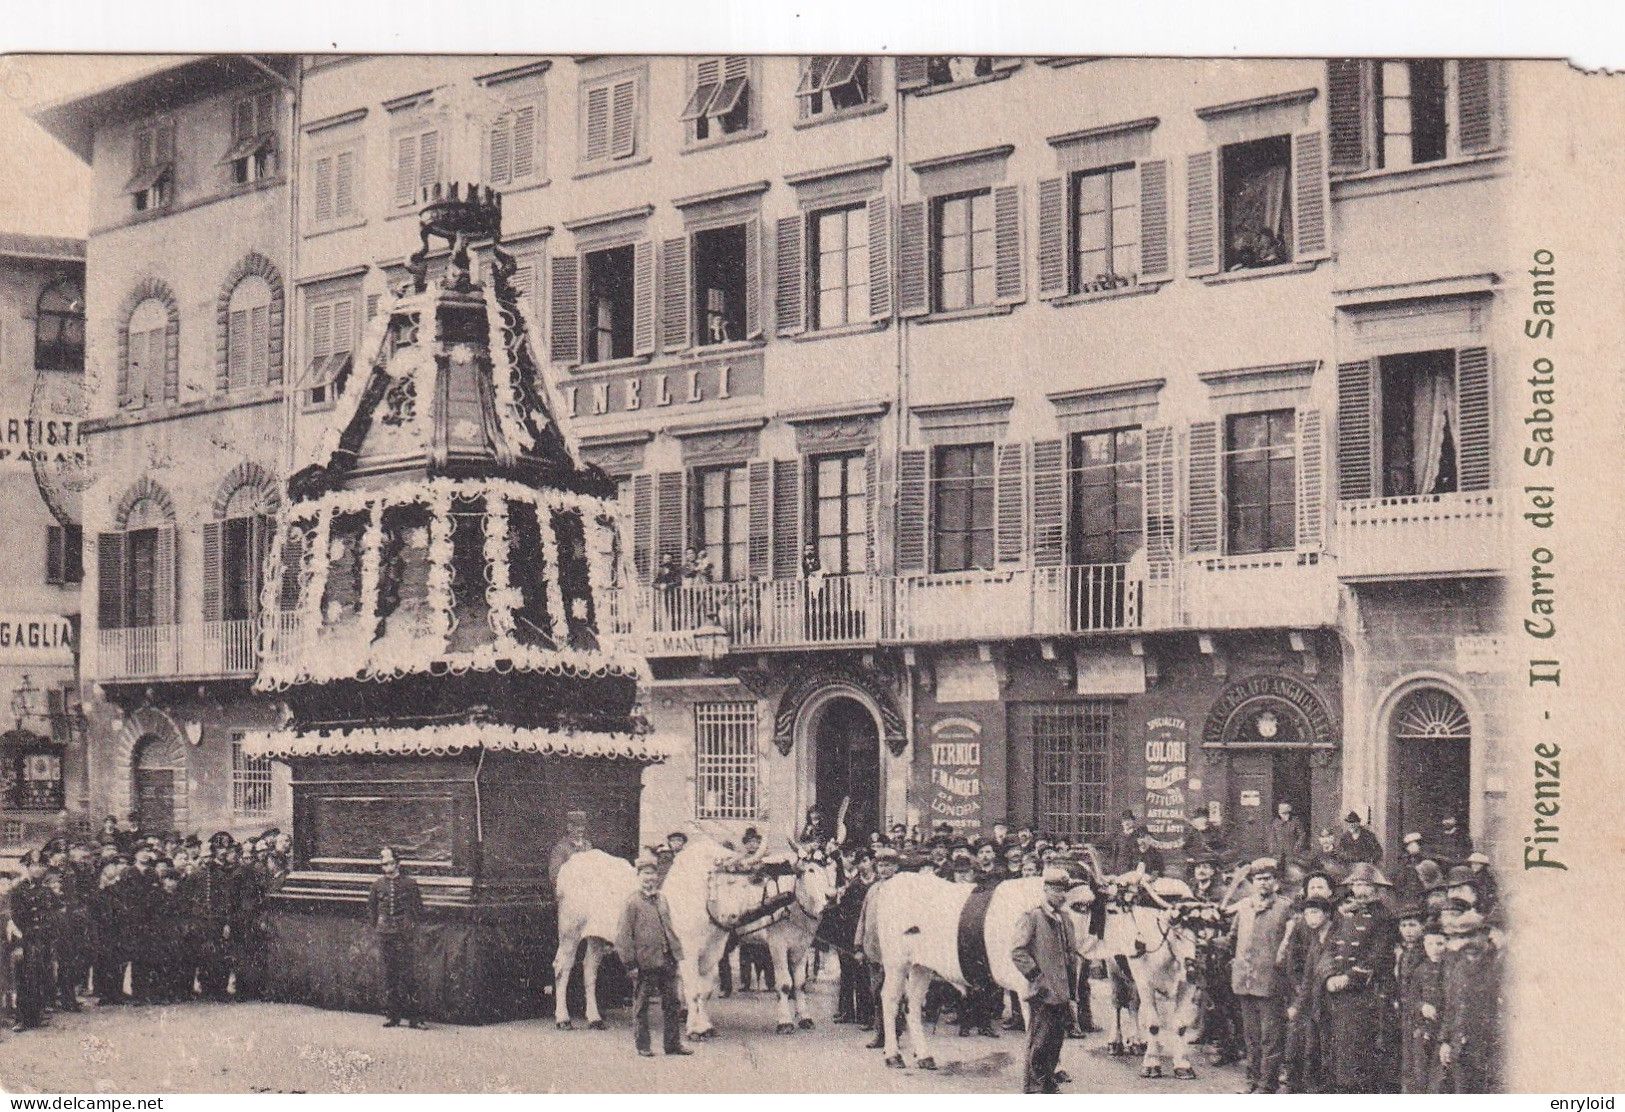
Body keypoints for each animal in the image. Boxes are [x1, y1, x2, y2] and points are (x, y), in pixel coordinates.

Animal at [552, 851, 640, 1027]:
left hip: (595, 936)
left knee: (589, 968)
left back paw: (594, 1018)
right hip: (570, 931)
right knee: (562, 967)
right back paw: (563, 1019)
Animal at [871, 871, 1098, 1072]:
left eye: (1088, 906)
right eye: (1077, 906)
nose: (1087, 946)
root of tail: (895, 880)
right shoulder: (1028, 985)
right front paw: (1055, 1070)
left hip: (921, 966)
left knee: (913, 1004)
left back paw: (924, 1057)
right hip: (896, 962)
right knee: (890, 1000)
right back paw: (893, 1056)